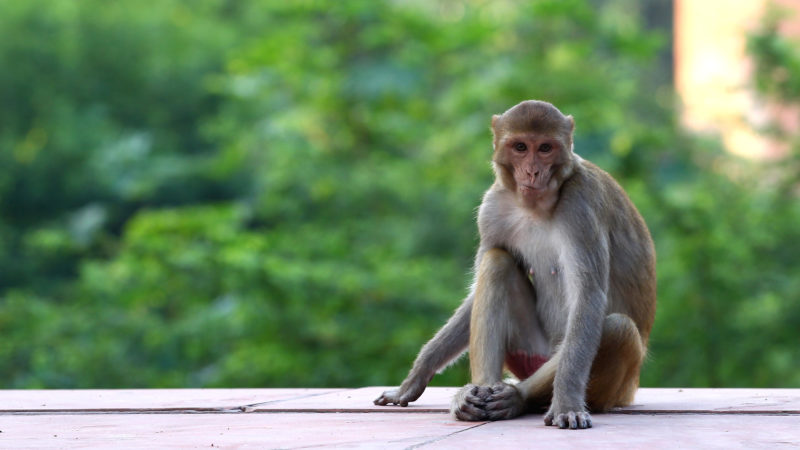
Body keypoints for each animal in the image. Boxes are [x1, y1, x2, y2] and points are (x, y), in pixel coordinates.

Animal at [374, 100, 656, 430]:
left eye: (545, 148)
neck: (537, 207)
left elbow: (588, 297)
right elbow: (478, 288)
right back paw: (478, 391)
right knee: (497, 262)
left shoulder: (582, 204)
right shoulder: (492, 208)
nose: (533, 171)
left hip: (610, 388)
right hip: (529, 353)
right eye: (520, 147)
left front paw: (566, 403)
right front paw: (416, 376)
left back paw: (518, 398)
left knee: (616, 328)